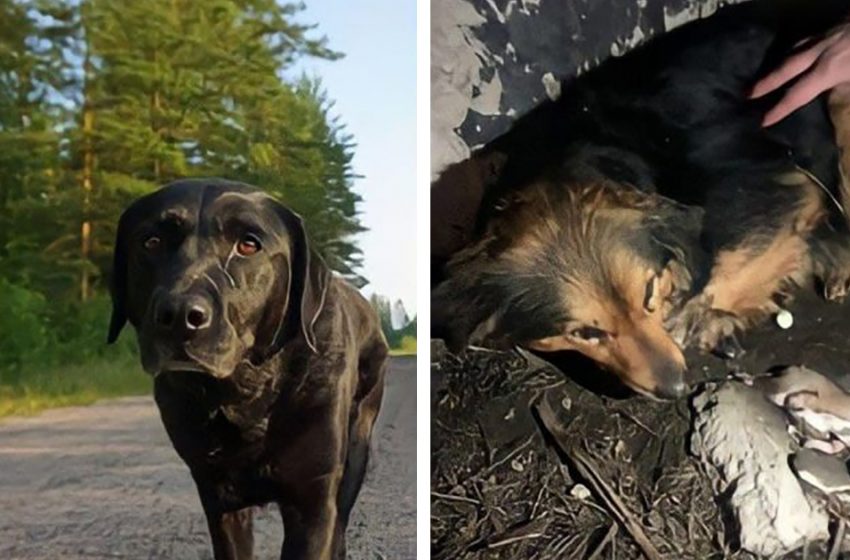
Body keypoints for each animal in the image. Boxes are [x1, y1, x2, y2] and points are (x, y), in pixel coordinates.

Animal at [106, 179, 388, 560]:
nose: (180, 315)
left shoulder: (312, 499)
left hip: (357, 446)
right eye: (151, 242)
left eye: (248, 244)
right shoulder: (219, 498)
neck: (246, 392)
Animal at [434, 2, 848, 400]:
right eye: (584, 333)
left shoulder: (776, 187)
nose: (676, 389)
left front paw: (702, 317)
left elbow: (724, 267)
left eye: (648, 292)